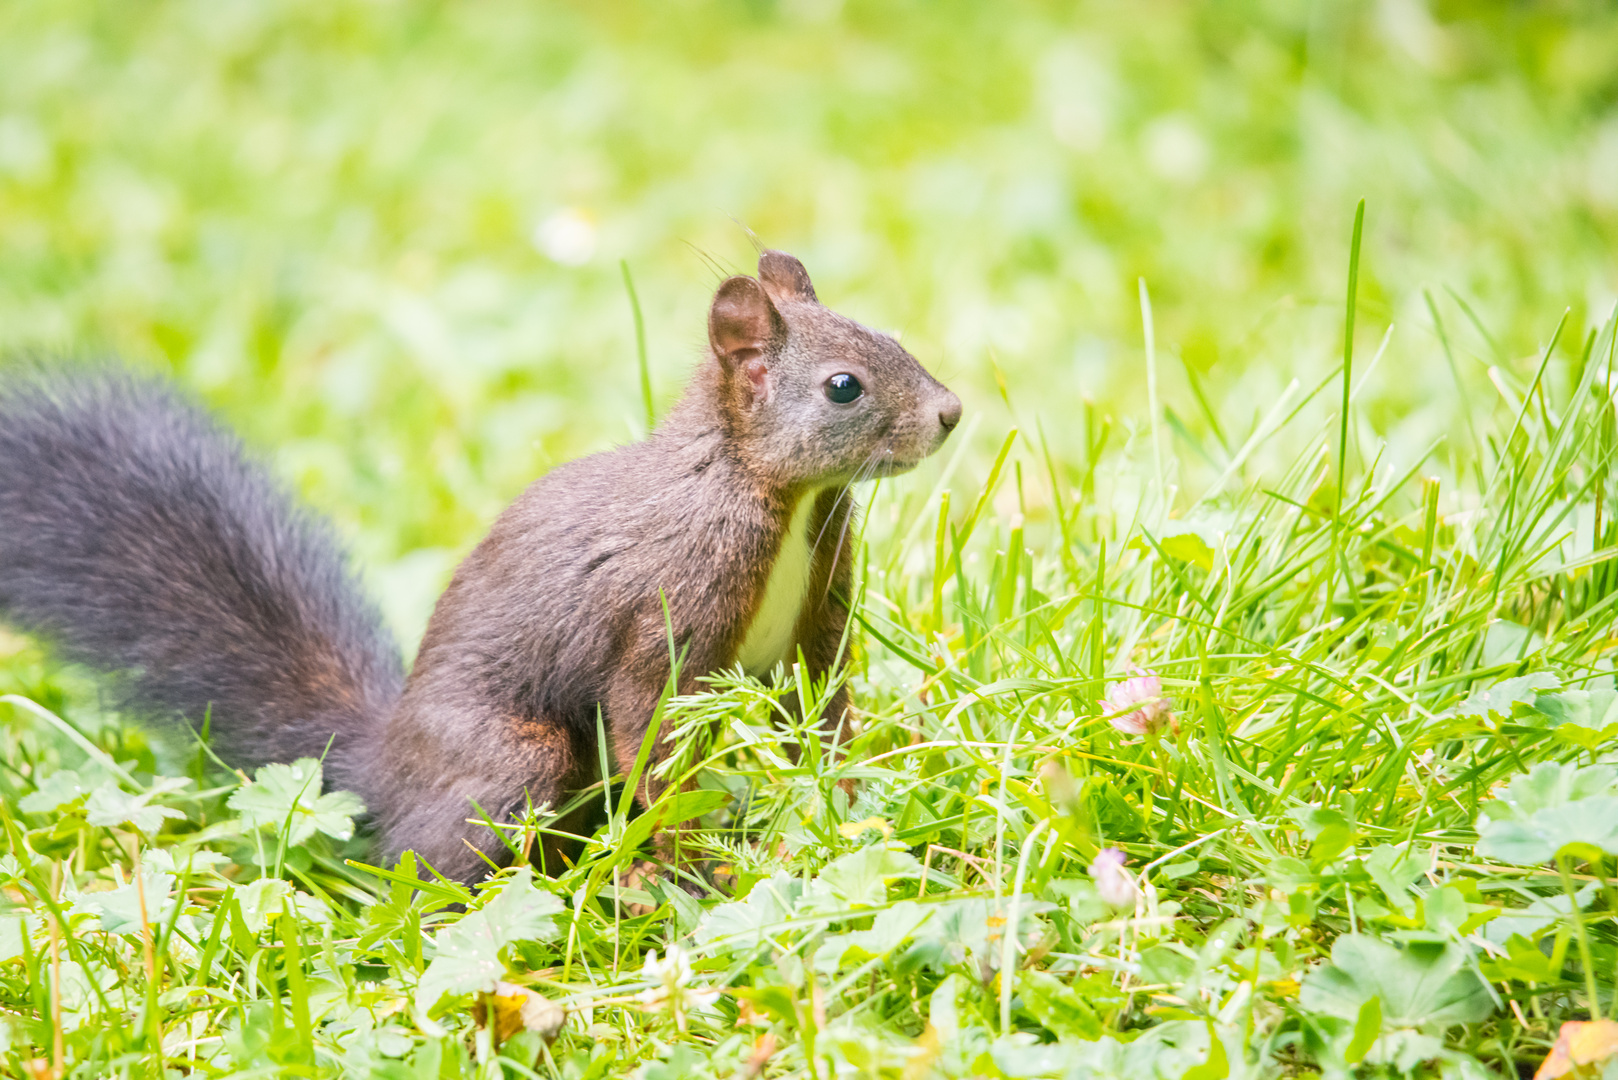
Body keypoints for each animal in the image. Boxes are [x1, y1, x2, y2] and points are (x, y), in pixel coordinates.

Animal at [0, 254, 957, 887]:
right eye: (844, 386)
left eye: (891, 335)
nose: (951, 412)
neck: (777, 497)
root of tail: (384, 765)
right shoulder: (667, 609)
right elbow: (651, 739)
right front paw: (692, 871)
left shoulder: (814, 622)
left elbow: (820, 712)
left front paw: (852, 803)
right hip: (515, 762)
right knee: (426, 867)